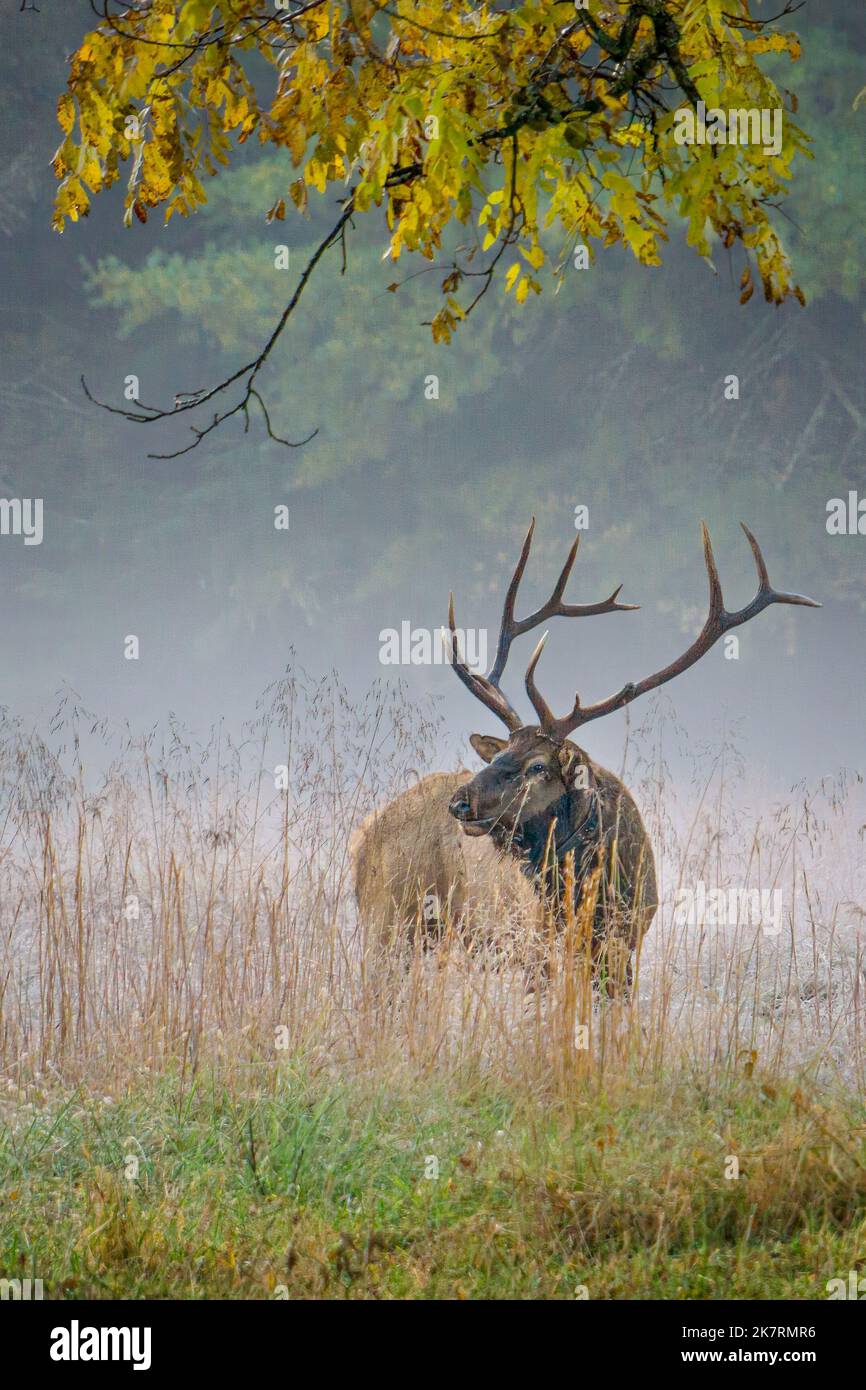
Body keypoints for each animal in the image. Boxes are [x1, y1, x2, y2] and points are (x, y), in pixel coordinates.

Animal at [354, 517, 817, 995]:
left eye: (538, 766)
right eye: (498, 756)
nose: (460, 803)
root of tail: (363, 837)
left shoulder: (625, 944)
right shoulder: (535, 946)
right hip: (388, 920)